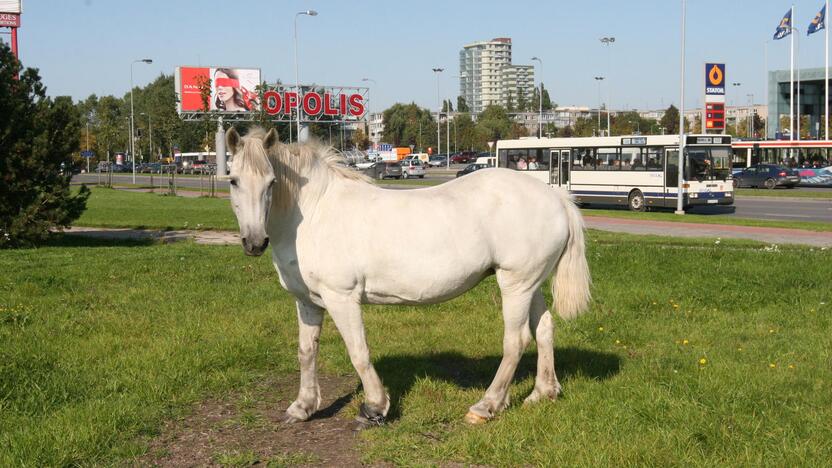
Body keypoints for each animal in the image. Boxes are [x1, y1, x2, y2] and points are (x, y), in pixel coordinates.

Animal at [228, 126, 592, 426]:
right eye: (233, 179)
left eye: (271, 182)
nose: (254, 242)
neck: (315, 212)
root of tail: (556, 197)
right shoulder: (308, 301)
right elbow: (306, 352)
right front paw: (302, 407)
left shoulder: (341, 298)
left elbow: (358, 352)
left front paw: (374, 408)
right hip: (531, 284)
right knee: (544, 329)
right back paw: (542, 393)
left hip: (515, 285)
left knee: (516, 341)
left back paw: (486, 406)